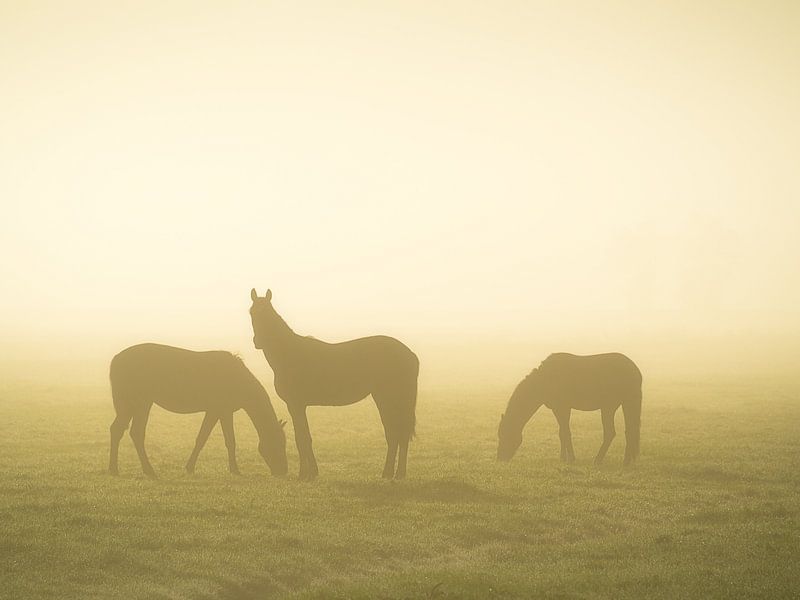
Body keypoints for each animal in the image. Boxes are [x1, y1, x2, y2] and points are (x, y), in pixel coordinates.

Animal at [108, 343, 288, 478]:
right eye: (279, 443)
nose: (283, 471)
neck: (238, 379)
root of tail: (115, 360)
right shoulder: (219, 410)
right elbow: (216, 439)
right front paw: (233, 469)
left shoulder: (220, 411)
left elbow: (215, 439)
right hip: (136, 402)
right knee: (126, 431)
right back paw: (128, 469)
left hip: (138, 403)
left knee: (127, 431)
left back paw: (127, 469)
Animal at [249, 289, 419, 480]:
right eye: (251, 313)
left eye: (267, 313)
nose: (258, 341)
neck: (288, 353)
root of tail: (410, 354)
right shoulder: (299, 406)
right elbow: (305, 437)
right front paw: (311, 472)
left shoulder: (295, 405)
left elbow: (301, 439)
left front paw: (304, 474)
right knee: (396, 433)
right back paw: (392, 473)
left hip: (389, 399)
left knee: (397, 433)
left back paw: (395, 473)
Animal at [497, 352, 642, 465]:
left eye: (504, 434)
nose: (500, 458)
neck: (545, 380)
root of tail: (635, 370)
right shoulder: (557, 409)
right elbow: (562, 433)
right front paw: (563, 457)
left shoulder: (563, 407)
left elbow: (566, 432)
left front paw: (571, 458)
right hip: (624, 404)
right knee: (629, 431)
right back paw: (626, 461)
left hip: (609, 407)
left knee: (611, 433)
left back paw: (598, 459)